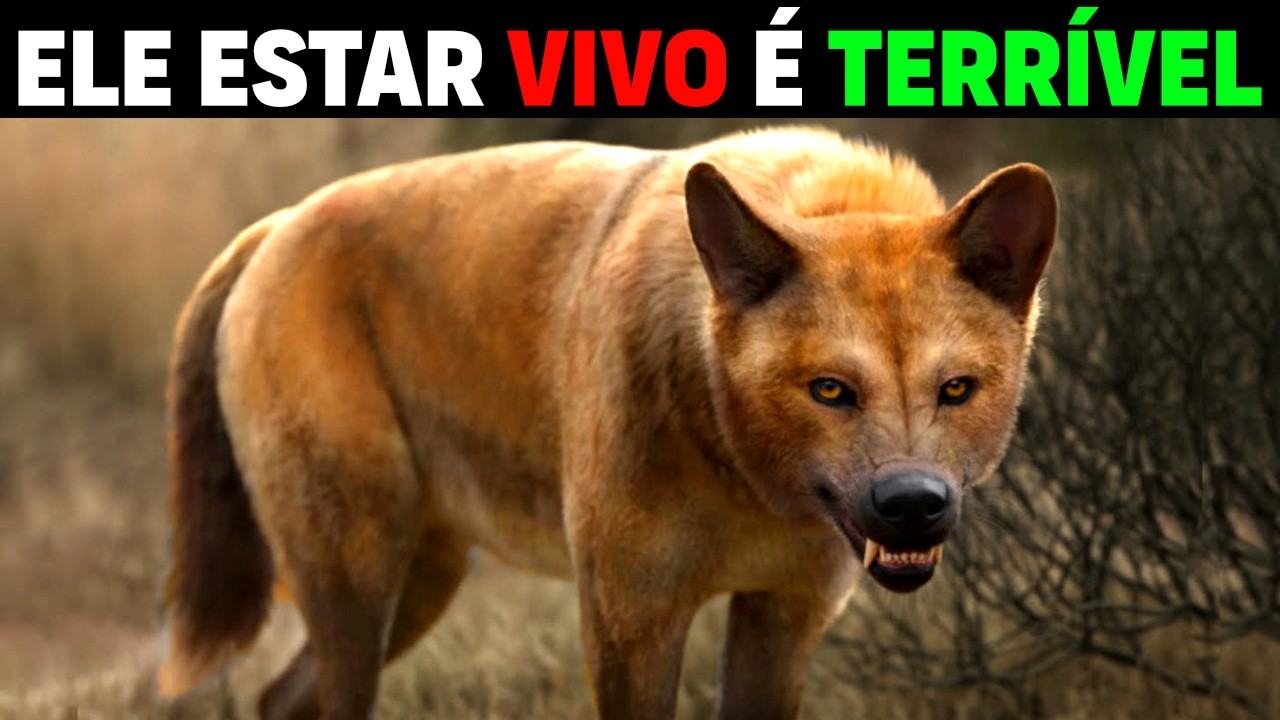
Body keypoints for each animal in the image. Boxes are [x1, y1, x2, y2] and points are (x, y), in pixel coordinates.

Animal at [154, 125, 1056, 719]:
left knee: (278, 697)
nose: (912, 504)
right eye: (831, 389)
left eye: (956, 389)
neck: (747, 482)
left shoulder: (784, 614)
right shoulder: (630, 617)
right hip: (359, 576)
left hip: (415, 584)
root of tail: (276, 224)